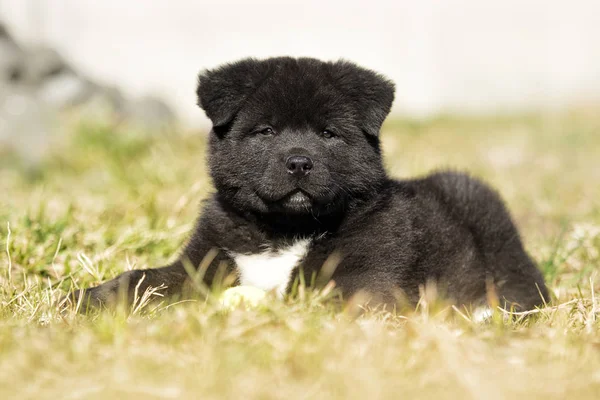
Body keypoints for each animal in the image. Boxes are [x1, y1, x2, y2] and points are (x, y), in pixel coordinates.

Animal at [72, 57, 552, 310]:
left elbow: (296, 296)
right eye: (266, 131)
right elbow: (146, 278)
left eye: (328, 134)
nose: (299, 163)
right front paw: (87, 297)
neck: (283, 232)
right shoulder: (202, 257)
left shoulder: (364, 280)